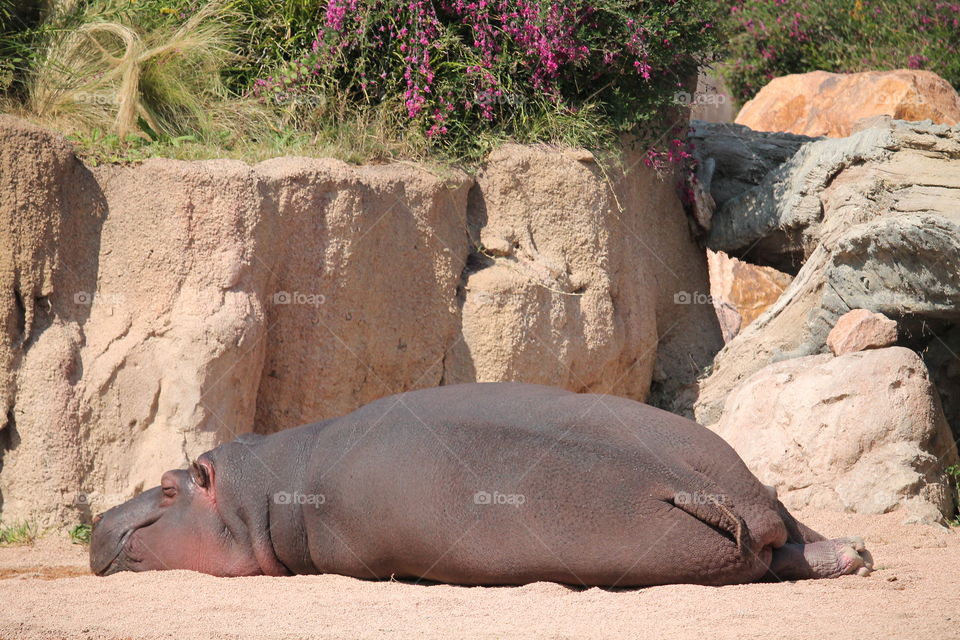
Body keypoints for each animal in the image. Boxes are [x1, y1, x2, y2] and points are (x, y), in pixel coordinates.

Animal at [91, 383, 872, 585]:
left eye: (167, 489)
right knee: (791, 531)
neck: (259, 492)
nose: (98, 521)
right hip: (723, 464)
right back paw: (853, 554)